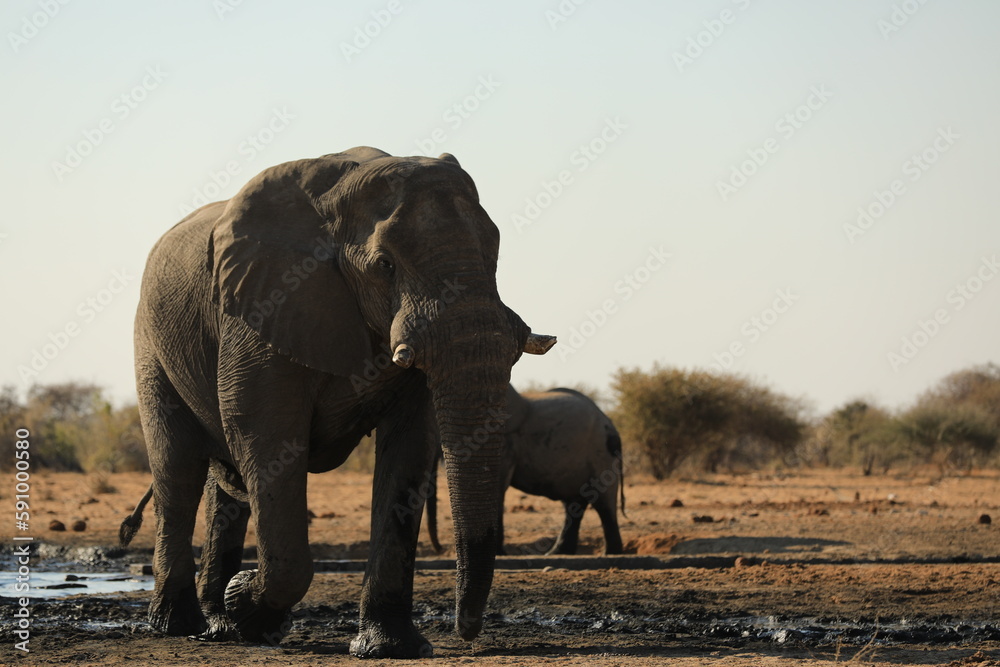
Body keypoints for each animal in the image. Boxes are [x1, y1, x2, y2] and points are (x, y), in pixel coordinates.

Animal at [121, 146, 556, 659]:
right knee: (178, 471)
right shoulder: (265, 306)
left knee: (223, 485)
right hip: (150, 341)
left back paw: (220, 623)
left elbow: (410, 447)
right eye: (385, 265)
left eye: (495, 255)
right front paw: (245, 600)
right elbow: (265, 434)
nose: (464, 632)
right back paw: (181, 624)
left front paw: (389, 648)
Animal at [426, 385, 625, 556]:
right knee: (574, 503)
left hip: (601, 455)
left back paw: (610, 553)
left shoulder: (504, 442)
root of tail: (610, 422)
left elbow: (497, 486)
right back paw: (556, 553)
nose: (441, 550)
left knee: (602, 503)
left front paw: (498, 554)